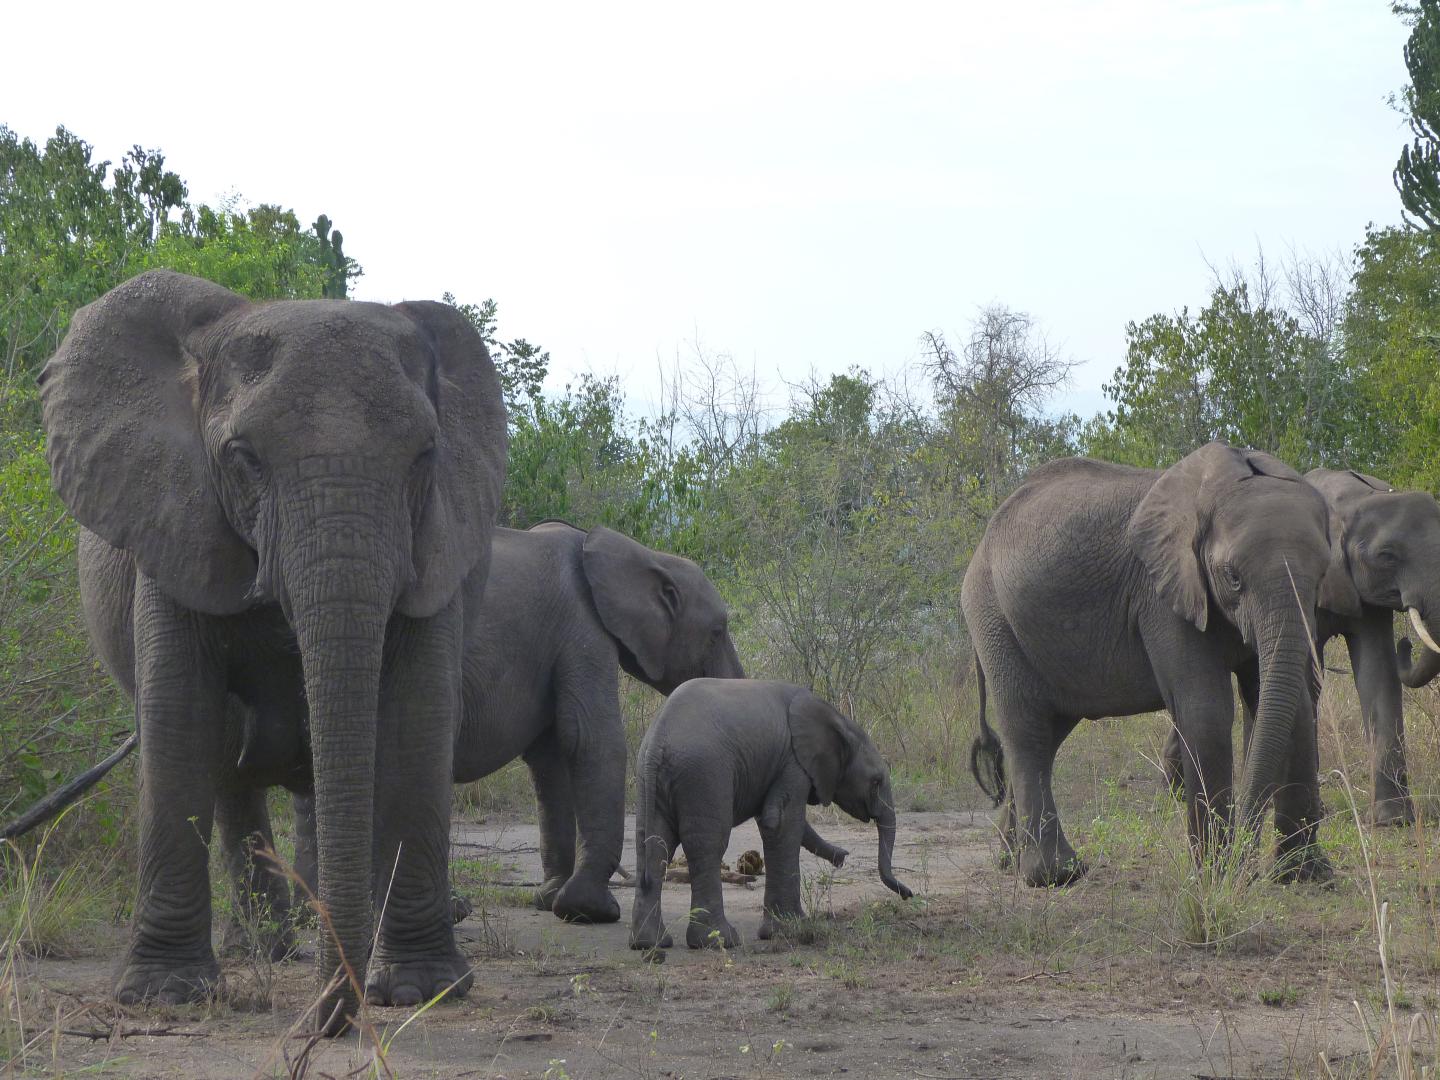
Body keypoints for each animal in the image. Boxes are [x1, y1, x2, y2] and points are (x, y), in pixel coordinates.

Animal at [40, 269, 506, 1031]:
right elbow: (179, 721)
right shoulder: (176, 519)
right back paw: (268, 948)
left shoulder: (438, 545)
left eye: (426, 457)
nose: (328, 1020)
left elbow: (416, 721)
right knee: (229, 767)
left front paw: (420, 990)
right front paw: (164, 995)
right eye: (243, 459)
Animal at [288, 521, 748, 927]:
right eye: (717, 631)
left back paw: (313, 915)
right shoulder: (581, 627)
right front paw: (590, 911)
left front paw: (551, 899)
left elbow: (551, 758)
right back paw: (449, 912)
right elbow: (590, 739)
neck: (634, 552)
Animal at [630, 679, 910, 950]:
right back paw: (720, 941)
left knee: (653, 844)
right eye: (876, 782)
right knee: (707, 844)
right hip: (704, 774)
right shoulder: (794, 762)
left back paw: (649, 943)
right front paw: (789, 929)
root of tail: (657, 743)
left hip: (650, 781)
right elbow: (781, 823)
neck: (839, 720)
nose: (909, 895)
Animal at [961, 440, 1353, 887]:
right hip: (993, 617)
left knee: (1049, 733)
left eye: (1322, 576)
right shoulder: (1160, 594)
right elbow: (1206, 711)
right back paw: (1055, 875)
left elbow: (1296, 706)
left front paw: (1305, 875)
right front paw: (1216, 876)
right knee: (1027, 730)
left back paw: (1009, 860)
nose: (1247, 865)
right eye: (1233, 578)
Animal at [1157, 466, 1440, 829]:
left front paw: (1392, 820)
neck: (1358, 499)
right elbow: (1308, 681)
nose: (1406, 643)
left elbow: (1377, 675)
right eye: (1387, 556)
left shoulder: (1364, 594)